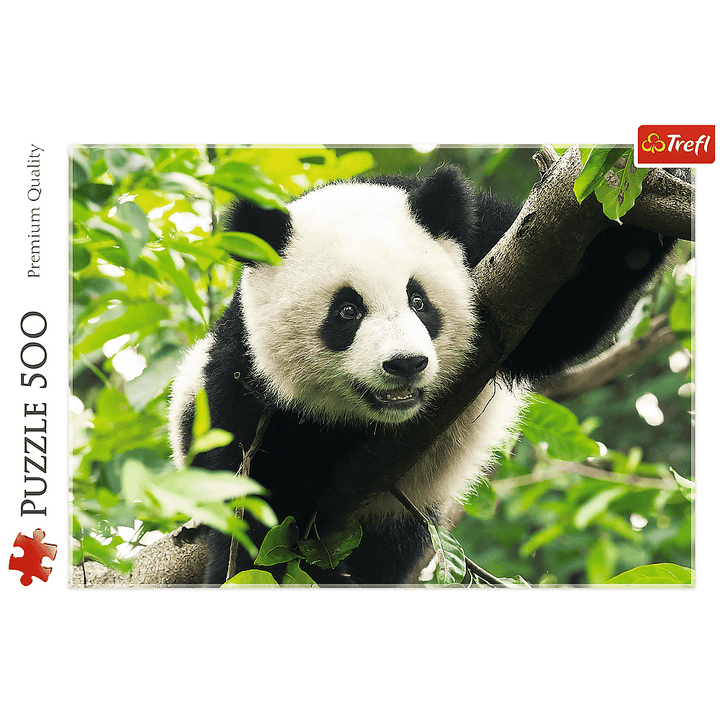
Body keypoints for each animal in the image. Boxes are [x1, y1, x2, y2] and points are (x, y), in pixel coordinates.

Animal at [168, 164, 680, 586]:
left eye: (419, 301)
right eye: (347, 311)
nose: (405, 364)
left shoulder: (489, 246)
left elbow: (564, 314)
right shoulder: (244, 382)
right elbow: (256, 504)